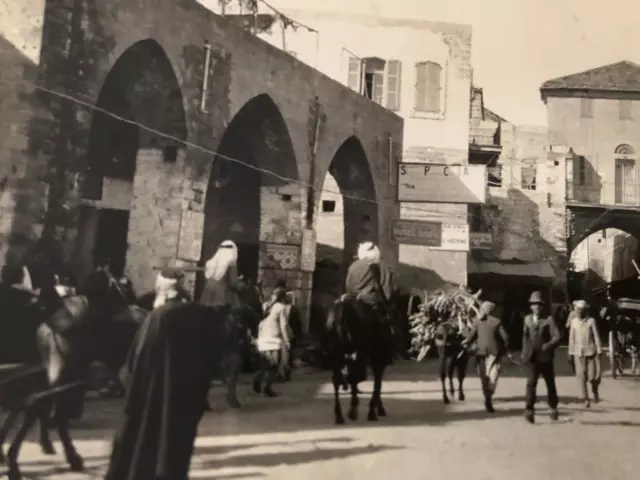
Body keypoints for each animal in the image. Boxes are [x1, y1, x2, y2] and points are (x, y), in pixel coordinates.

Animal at [324, 298, 396, 426]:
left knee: (337, 379)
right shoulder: (379, 360)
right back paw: (353, 410)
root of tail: (343, 308)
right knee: (354, 376)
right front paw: (374, 410)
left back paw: (339, 415)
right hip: (360, 352)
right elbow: (377, 384)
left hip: (336, 354)